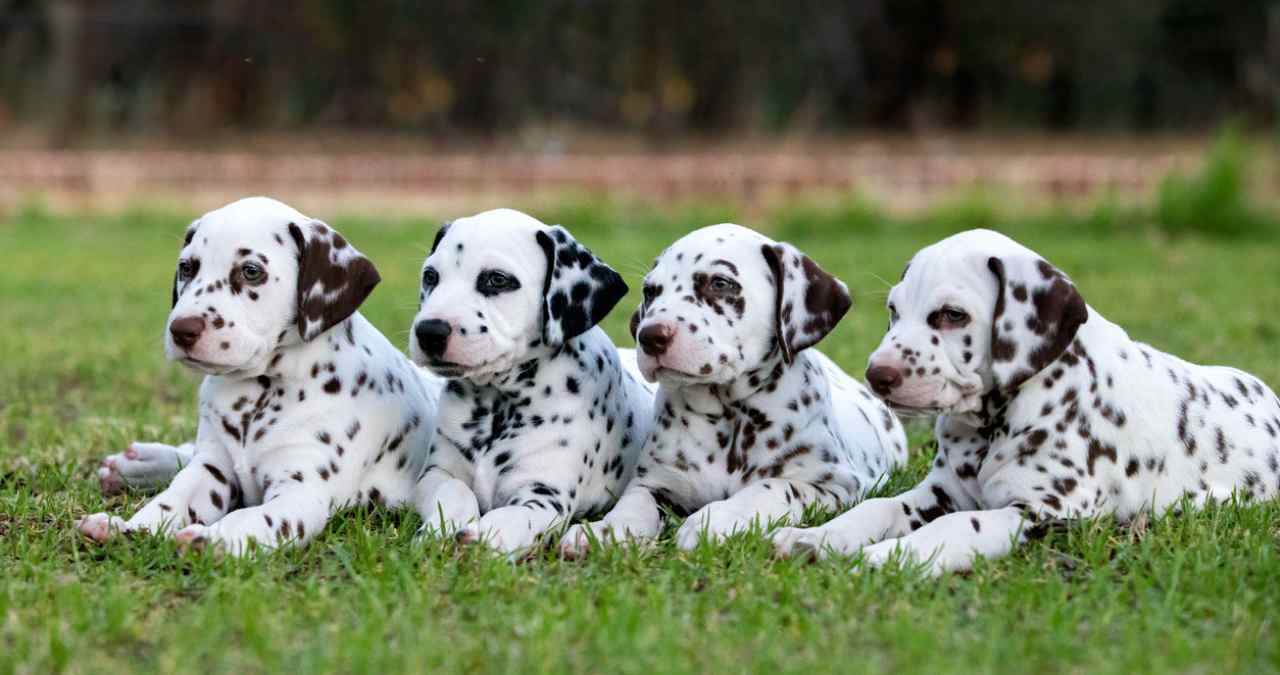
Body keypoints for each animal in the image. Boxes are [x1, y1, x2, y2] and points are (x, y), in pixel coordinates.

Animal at [77, 195, 445, 555]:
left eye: (251, 271)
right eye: (187, 268)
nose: (181, 329)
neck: (260, 393)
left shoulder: (300, 493)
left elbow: (252, 519)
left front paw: (212, 540)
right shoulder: (212, 468)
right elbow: (172, 499)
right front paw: (127, 527)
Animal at [409, 210, 655, 555]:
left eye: (497, 279)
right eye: (431, 276)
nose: (429, 331)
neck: (498, 404)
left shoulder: (544, 496)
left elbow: (511, 517)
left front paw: (482, 537)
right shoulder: (437, 473)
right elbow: (455, 492)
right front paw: (439, 530)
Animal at [560, 224, 911, 558]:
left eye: (720, 283)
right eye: (651, 291)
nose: (649, 336)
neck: (730, 418)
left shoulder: (836, 483)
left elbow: (770, 487)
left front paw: (714, 519)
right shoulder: (654, 482)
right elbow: (633, 504)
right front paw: (605, 531)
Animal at [768, 227, 1280, 576]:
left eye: (952, 315)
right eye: (894, 310)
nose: (878, 375)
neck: (995, 423)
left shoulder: (1043, 513)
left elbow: (958, 526)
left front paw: (887, 556)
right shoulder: (940, 491)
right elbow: (877, 507)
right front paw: (816, 537)